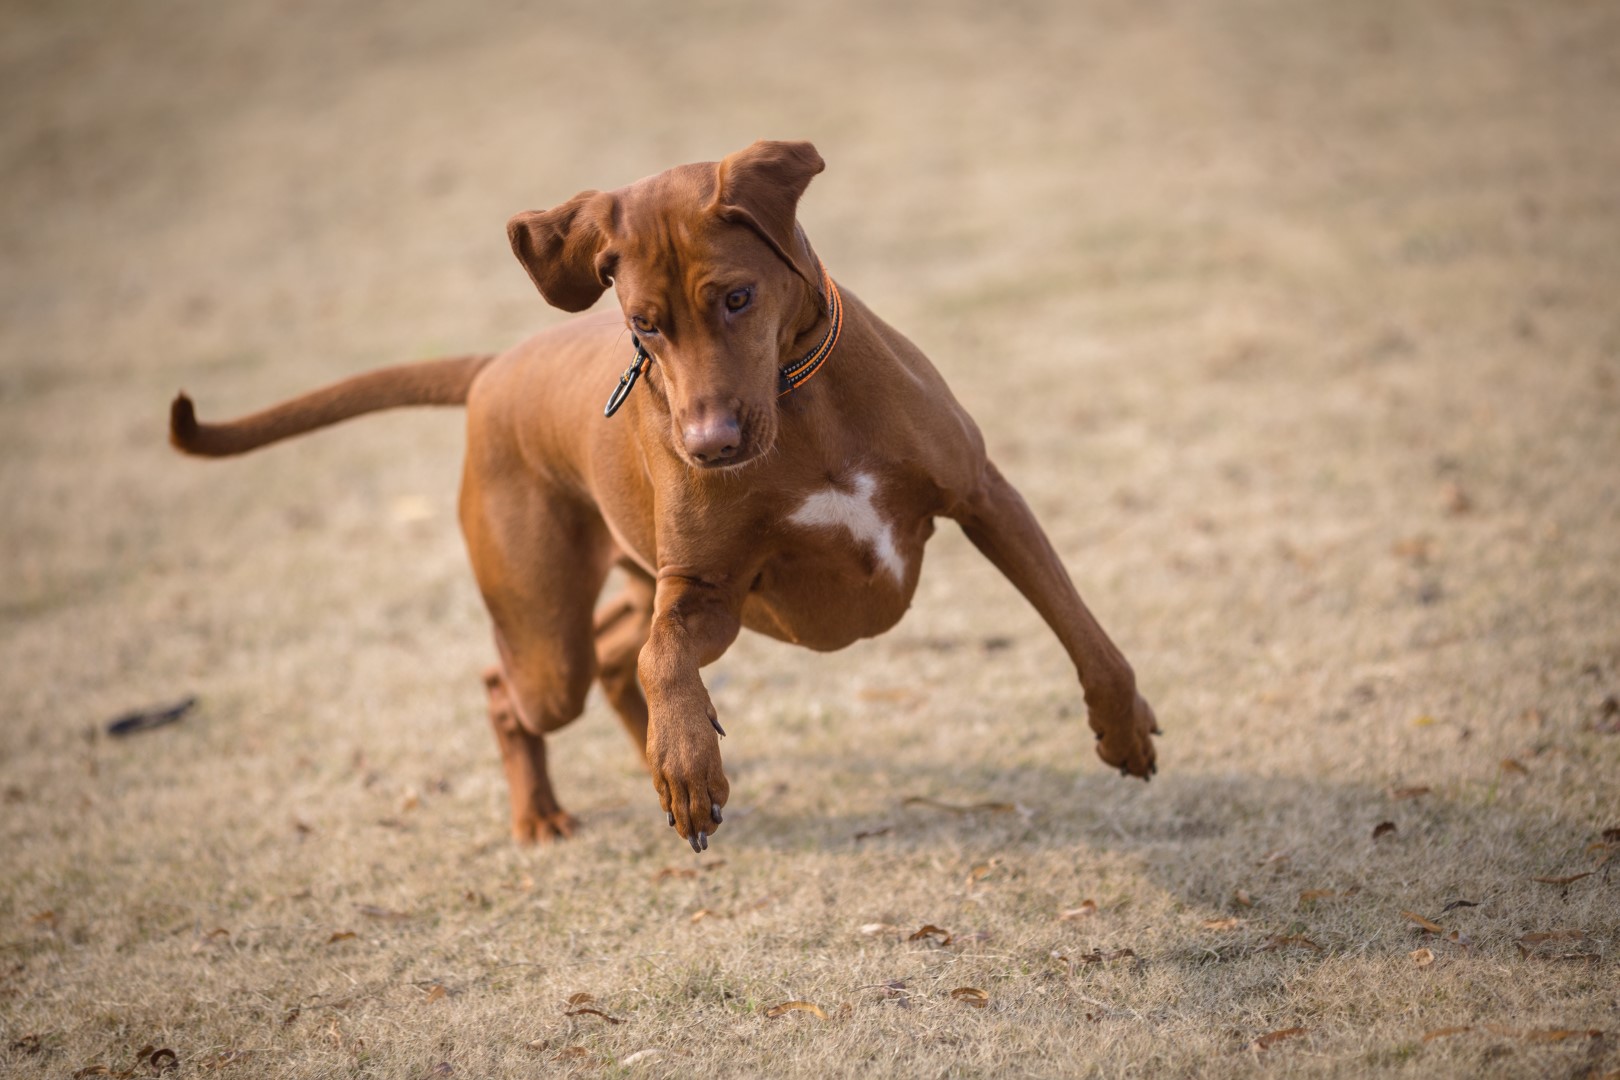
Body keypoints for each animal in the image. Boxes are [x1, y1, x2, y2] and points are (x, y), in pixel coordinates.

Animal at [174, 141, 1153, 854]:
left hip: (619, 591)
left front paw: (1124, 729)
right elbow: (662, 659)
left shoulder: (986, 498)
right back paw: (544, 812)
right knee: (520, 683)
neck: (801, 406)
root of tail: (495, 368)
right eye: (643, 324)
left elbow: (1084, 630)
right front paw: (687, 760)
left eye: (738, 297)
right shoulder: (706, 592)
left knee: (611, 653)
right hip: (548, 640)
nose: (708, 446)